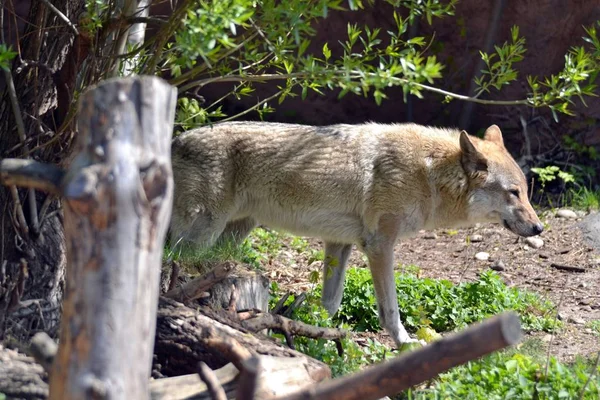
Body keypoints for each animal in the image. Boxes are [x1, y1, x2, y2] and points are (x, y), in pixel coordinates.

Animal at [170, 122, 544, 346]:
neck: (428, 174)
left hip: (234, 234)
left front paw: (319, 334)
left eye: (525, 193)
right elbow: (390, 308)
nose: (539, 228)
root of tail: (176, 140)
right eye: (513, 193)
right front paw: (404, 343)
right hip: (203, 235)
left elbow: (330, 303)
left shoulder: (340, 243)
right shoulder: (380, 247)